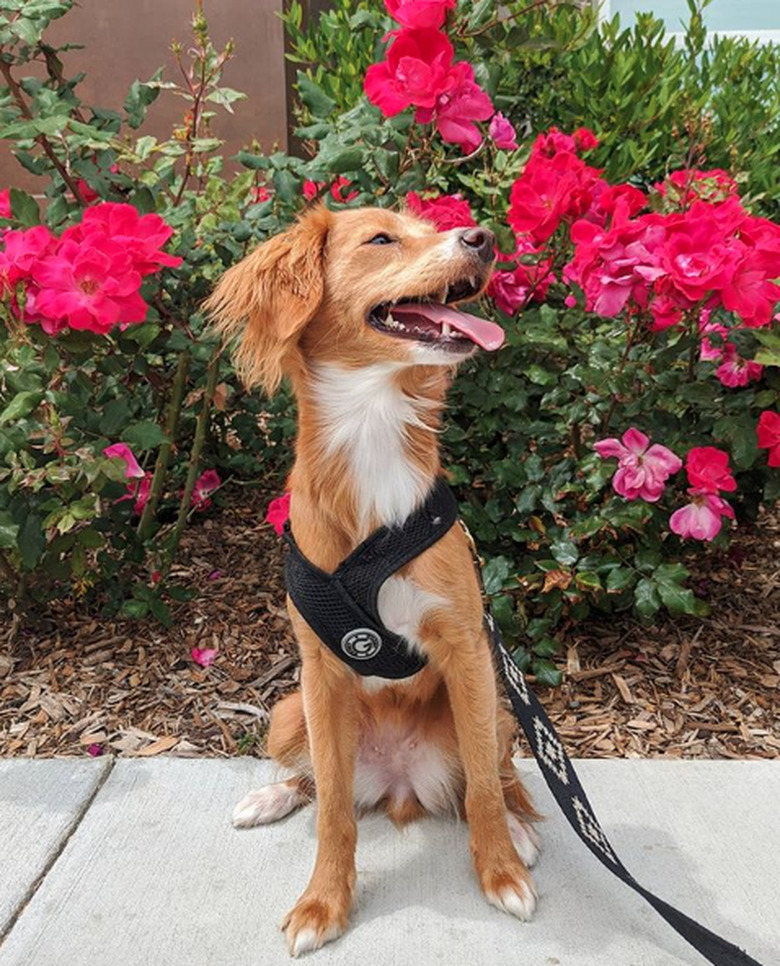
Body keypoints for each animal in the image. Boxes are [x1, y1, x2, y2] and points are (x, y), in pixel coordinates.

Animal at [204, 206, 540, 960]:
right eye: (381, 239)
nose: (484, 238)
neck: (372, 427)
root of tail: (398, 782)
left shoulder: (468, 650)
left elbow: (481, 788)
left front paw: (501, 869)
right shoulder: (322, 672)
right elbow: (333, 806)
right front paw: (323, 903)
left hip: (497, 705)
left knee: (496, 771)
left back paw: (523, 826)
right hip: (289, 713)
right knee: (316, 778)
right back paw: (272, 795)